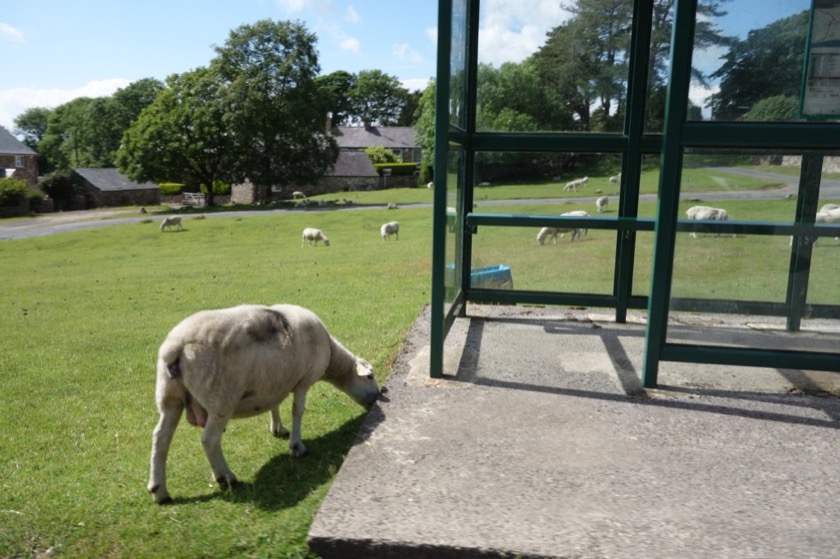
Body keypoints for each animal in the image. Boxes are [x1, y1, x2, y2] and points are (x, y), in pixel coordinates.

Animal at [146, 304, 378, 506]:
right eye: (370, 376)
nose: (377, 396)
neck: (331, 358)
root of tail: (175, 347)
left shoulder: (275, 382)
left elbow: (275, 405)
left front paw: (278, 429)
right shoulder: (303, 379)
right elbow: (298, 410)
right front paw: (297, 446)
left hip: (170, 396)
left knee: (161, 437)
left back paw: (160, 490)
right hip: (221, 397)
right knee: (209, 439)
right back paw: (225, 476)